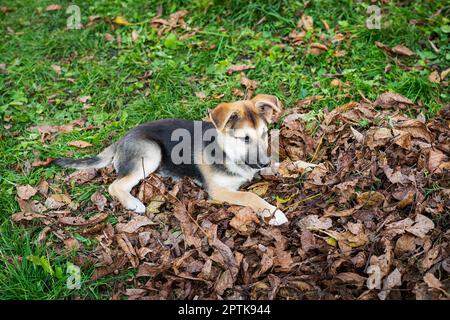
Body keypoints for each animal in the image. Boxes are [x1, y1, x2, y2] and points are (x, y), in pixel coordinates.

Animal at [55, 94, 288, 225]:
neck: (229, 154)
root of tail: (123, 137)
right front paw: (273, 214)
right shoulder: (218, 191)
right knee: (115, 185)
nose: (263, 162)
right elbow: (250, 196)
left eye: (265, 134)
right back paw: (134, 203)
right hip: (151, 153)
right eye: (244, 138)